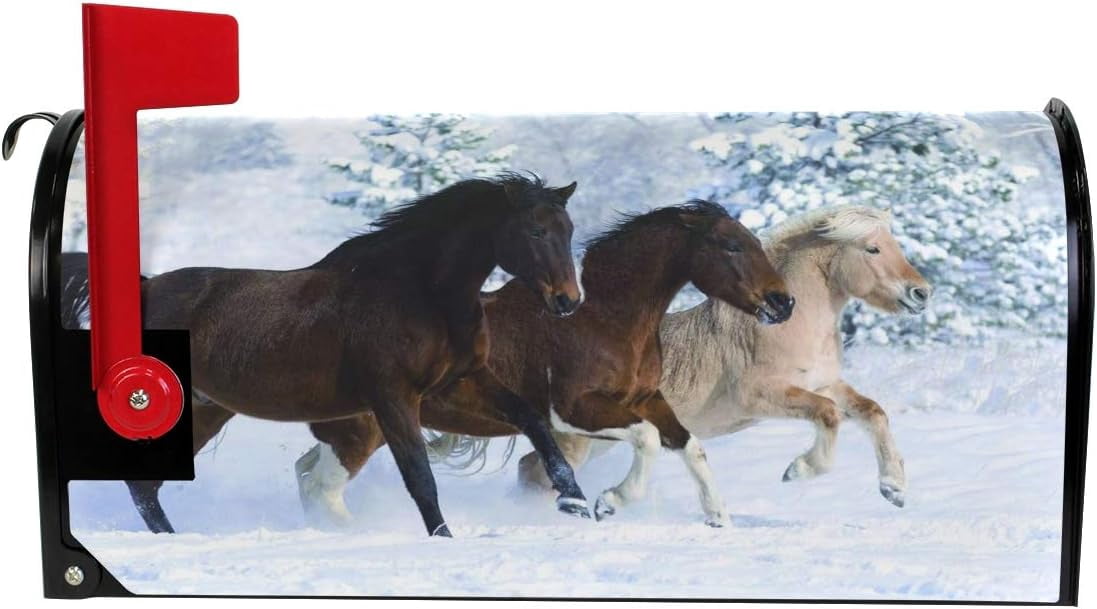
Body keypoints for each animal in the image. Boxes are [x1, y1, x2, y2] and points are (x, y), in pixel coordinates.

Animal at [67, 173, 595, 537]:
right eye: (535, 231)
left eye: (568, 229)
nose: (568, 301)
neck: (421, 291)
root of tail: (145, 287)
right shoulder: (393, 398)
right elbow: (420, 477)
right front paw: (444, 539)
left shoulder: (461, 382)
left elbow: (534, 422)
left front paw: (577, 503)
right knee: (139, 484)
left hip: (204, 409)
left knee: (146, 487)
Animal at [300, 200, 795, 527]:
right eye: (730, 245)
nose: (783, 302)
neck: (604, 317)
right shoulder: (572, 410)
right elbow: (649, 439)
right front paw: (609, 502)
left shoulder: (646, 398)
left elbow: (689, 445)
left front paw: (717, 516)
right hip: (362, 431)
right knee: (319, 486)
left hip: (353, 430)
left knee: (308, 475)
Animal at [518, 205, 931, 508]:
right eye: (872, 248)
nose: (921, 293)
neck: (787, 325)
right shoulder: (759, 396)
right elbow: (828, 416)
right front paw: (798, 470)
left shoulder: (824, 383)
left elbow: (872, 412)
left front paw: (894, 488)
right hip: (580, 440)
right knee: (536, 472)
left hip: (600, 440)